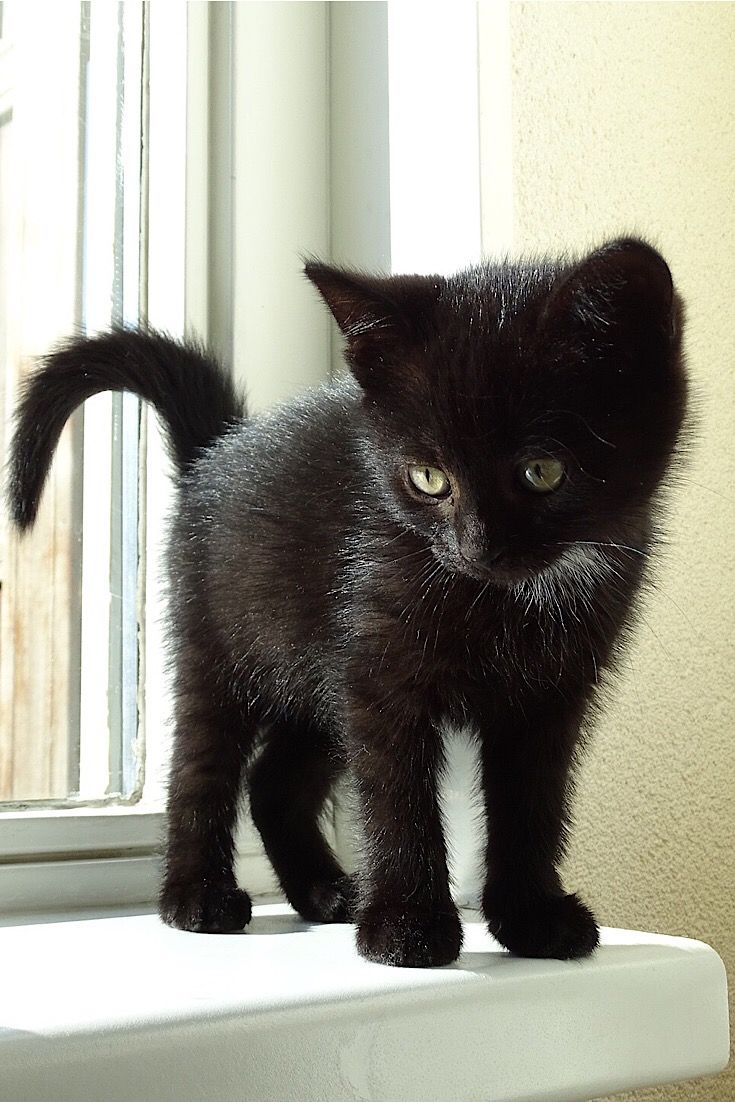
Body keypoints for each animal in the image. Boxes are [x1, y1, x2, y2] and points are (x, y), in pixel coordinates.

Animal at [5, 239, 687, 965]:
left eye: (542, 471)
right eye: (428, 478)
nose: (475, 547)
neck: (507, 598)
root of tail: (215, 449)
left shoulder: (552, 691)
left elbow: (532, 801)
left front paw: (531, 917)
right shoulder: (379, 662)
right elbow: (395, 794)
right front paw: (406, 926)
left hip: (316, 676)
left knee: (274, 782)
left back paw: (325, 890)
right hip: (217, 639)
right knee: (202, 759)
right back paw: (196, 898)